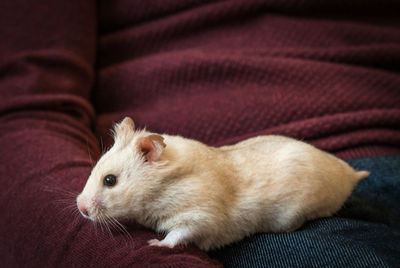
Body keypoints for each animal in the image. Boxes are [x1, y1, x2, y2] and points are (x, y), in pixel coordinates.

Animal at [76, 117, 370, 251]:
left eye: (110, 180)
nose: (80, 208)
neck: (160, 189)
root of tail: (350, 175)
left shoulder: (199, 216)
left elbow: (178, 234)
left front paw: (155, 244)